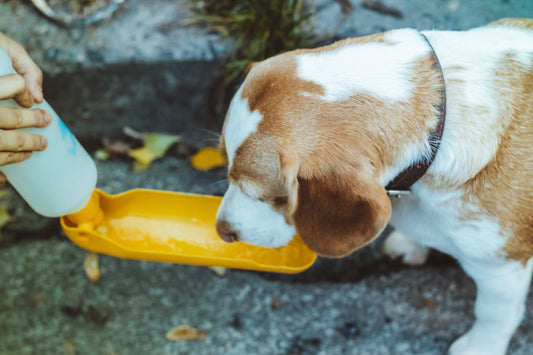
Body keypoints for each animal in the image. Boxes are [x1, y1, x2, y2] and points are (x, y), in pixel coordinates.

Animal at [214, 18, 528, 355]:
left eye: (268, 196)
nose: (222, 232)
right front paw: (411, 244)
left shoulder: (502, 270)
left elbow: (493, 314)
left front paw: (481, 345)